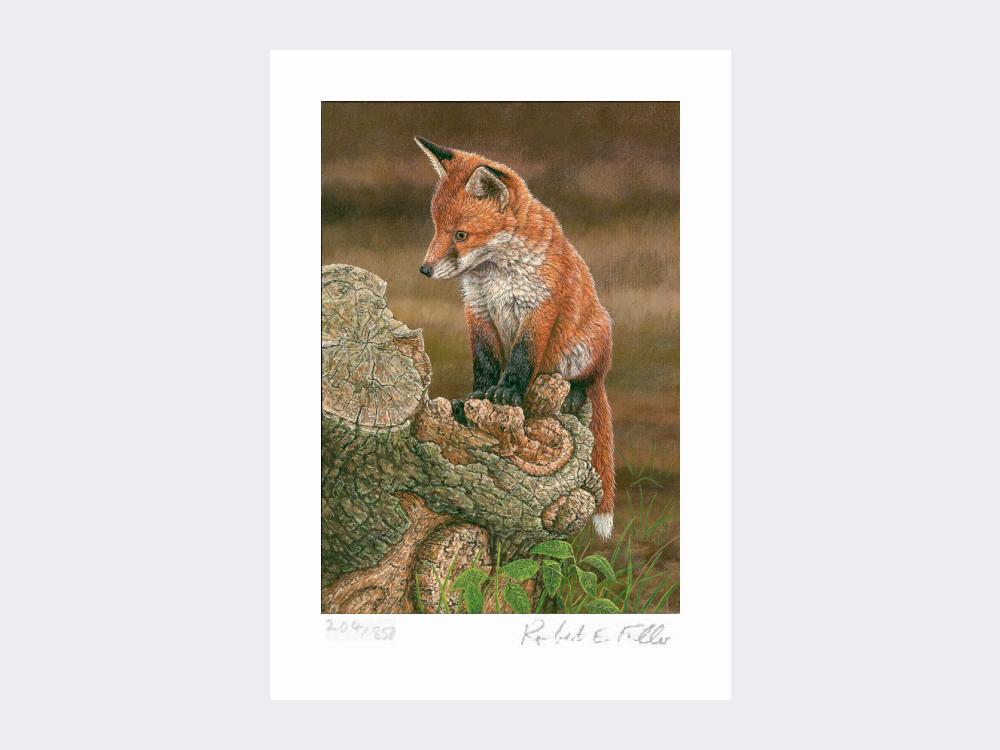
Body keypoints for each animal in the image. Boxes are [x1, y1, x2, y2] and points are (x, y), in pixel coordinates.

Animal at [413, 136, 615, 540]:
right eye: (437, 228)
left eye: (461, 235)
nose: (425, 270)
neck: (496, 276)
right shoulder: (477, 310)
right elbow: (485, 361)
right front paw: (475, 396)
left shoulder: (538, 308)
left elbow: (523, 358)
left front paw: (507, 394)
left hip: (588, 345)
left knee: (588, 381)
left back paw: (575, 394)